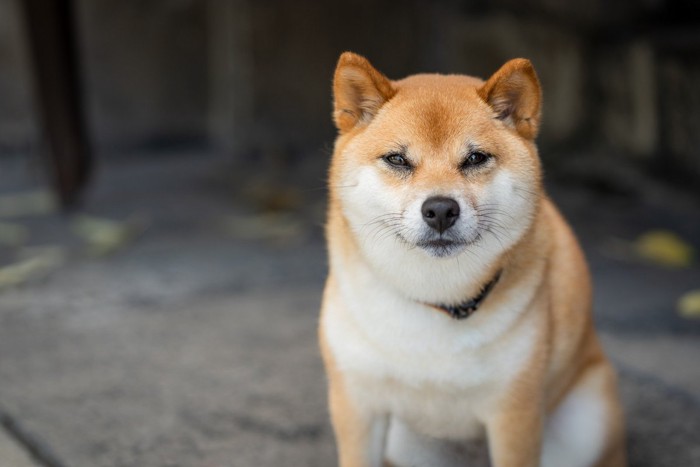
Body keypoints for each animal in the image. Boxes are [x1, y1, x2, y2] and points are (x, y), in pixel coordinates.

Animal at [318, 52, 624, 467]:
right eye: (397, 159)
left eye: (476, 158)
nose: (440, 209)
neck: (436, 299)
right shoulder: (357, 403)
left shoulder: (515, 412)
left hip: (586, 424)